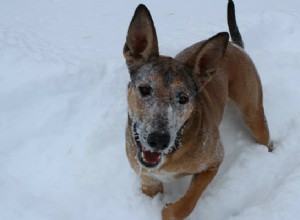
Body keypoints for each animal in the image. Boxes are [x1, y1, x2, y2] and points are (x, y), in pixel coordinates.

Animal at [122, 0, 272, 219]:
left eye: (183, 98)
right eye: (145, 89)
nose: (158, 139)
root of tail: (235, 46)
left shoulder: (214, 160)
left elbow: (188, 201)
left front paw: (170, 210)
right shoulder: (148, 180)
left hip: (253, 112)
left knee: (265, 137)